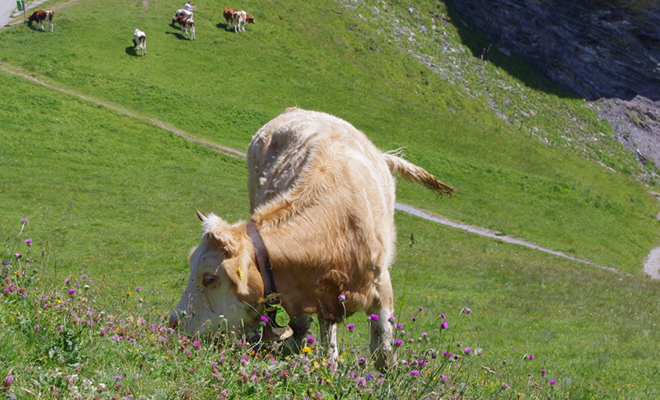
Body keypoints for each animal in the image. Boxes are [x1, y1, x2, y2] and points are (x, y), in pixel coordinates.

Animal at [169, 108, 454, 370]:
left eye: (209, 278)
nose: (173, 323)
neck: (337, 223)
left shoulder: (380, 282)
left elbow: (383, 348)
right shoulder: (304, 291)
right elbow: (314, 339)